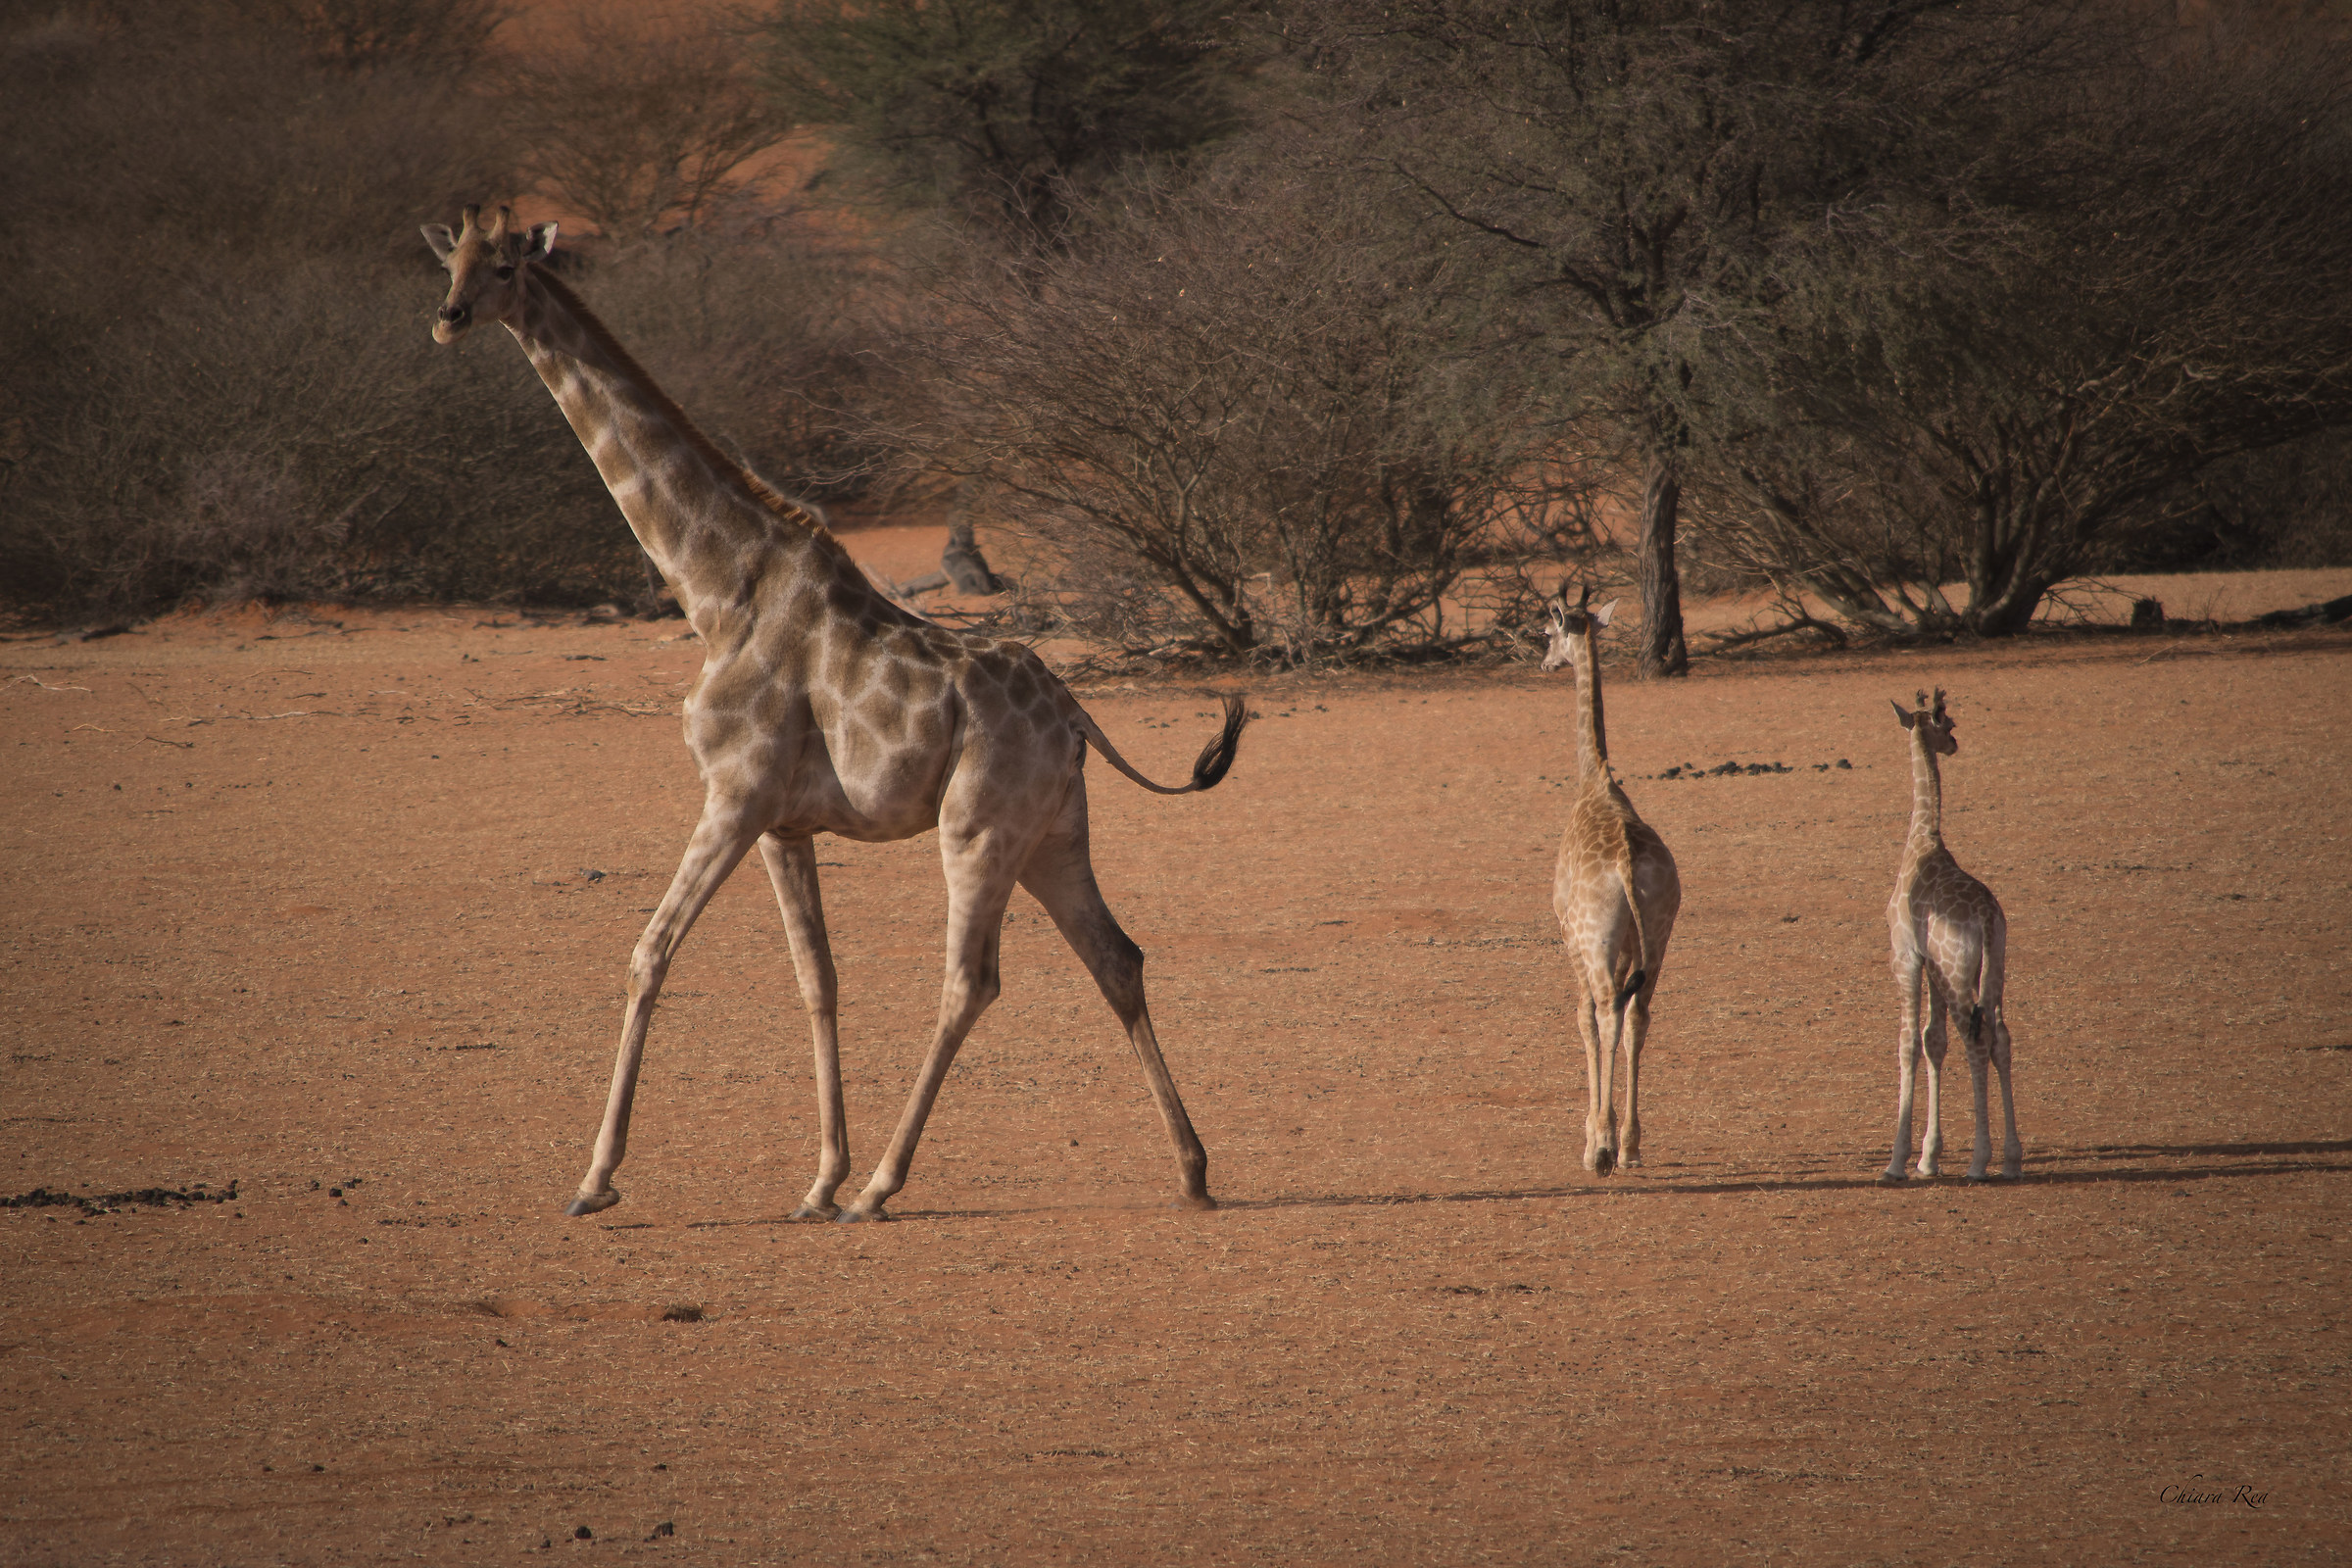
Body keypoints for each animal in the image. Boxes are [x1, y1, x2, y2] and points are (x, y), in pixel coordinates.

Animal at [422, 205, 1247, 1222]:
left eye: (503, 267)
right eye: (450, 260)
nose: (449, 319)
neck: (715, 591)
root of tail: (1077, 719)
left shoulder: (733, 795)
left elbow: (650, 953)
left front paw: (596, 1180)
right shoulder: (785, 822)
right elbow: (818, 979)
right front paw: (818, 1178)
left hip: (976, 827)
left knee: (971, 980)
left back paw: (886, 1188)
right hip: (1054, 834)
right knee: (1117, 957)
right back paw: (1192, 1172)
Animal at [1884, 688, 2021, 1182]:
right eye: (1949, 726)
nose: (1955, 745)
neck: (1923, 840)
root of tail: (1985, 916)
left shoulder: (1905, 955)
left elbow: (1909, 1043)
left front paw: (1899, 1160)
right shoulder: (1931, 965)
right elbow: (1933, 1041)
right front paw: (1929, 1156)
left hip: (1960, 972)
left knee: (1976, 1038)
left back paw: (1980, 1162)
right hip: (1993, 967)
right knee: (2000, 1035)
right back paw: (2011, 1158)